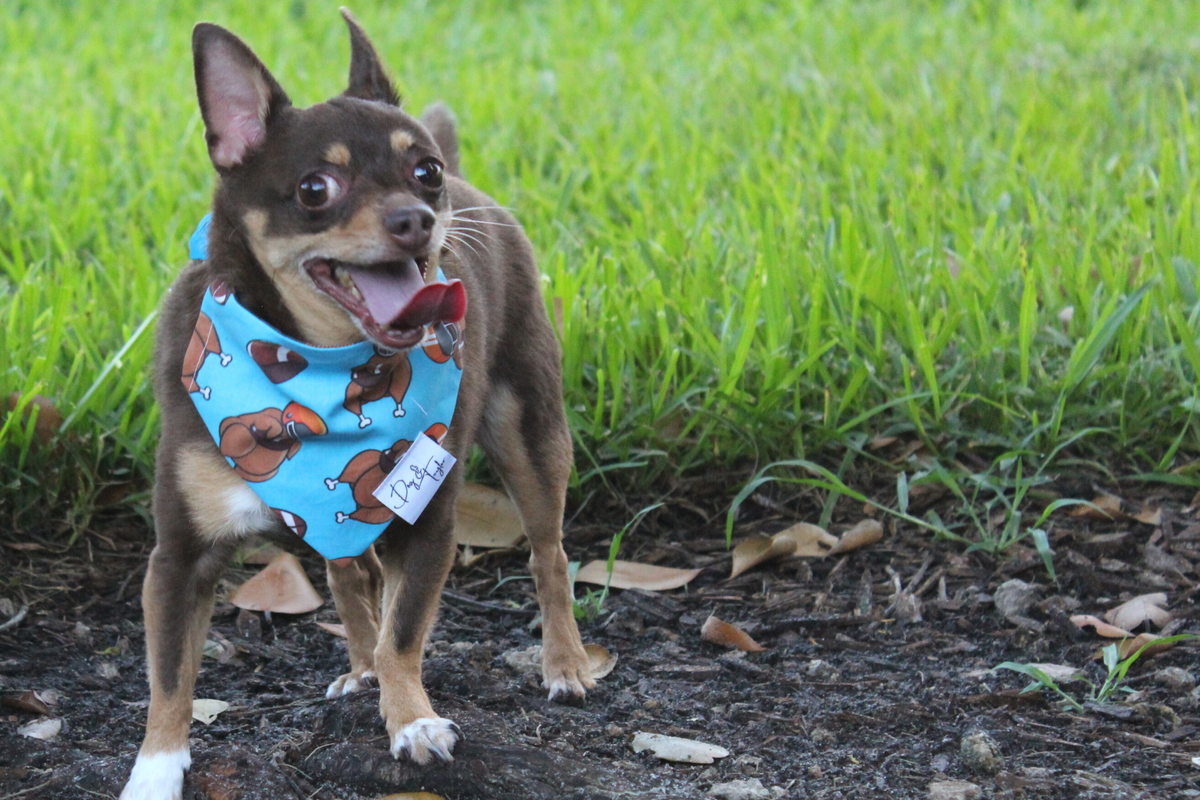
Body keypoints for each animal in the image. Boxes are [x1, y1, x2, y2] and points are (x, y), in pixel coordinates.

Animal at [119, 9, 592, 796]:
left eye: (423, 172)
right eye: (316, 188)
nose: (418, 217)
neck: (316, 369)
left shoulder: (426, 525)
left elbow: (406, 632)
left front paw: (413, 722)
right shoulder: (181, 555)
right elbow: (169, 677)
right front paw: (154, 770)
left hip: (530, 429)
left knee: (548, 554)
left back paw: (566, 663)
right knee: (351, 572)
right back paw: (360, 667)